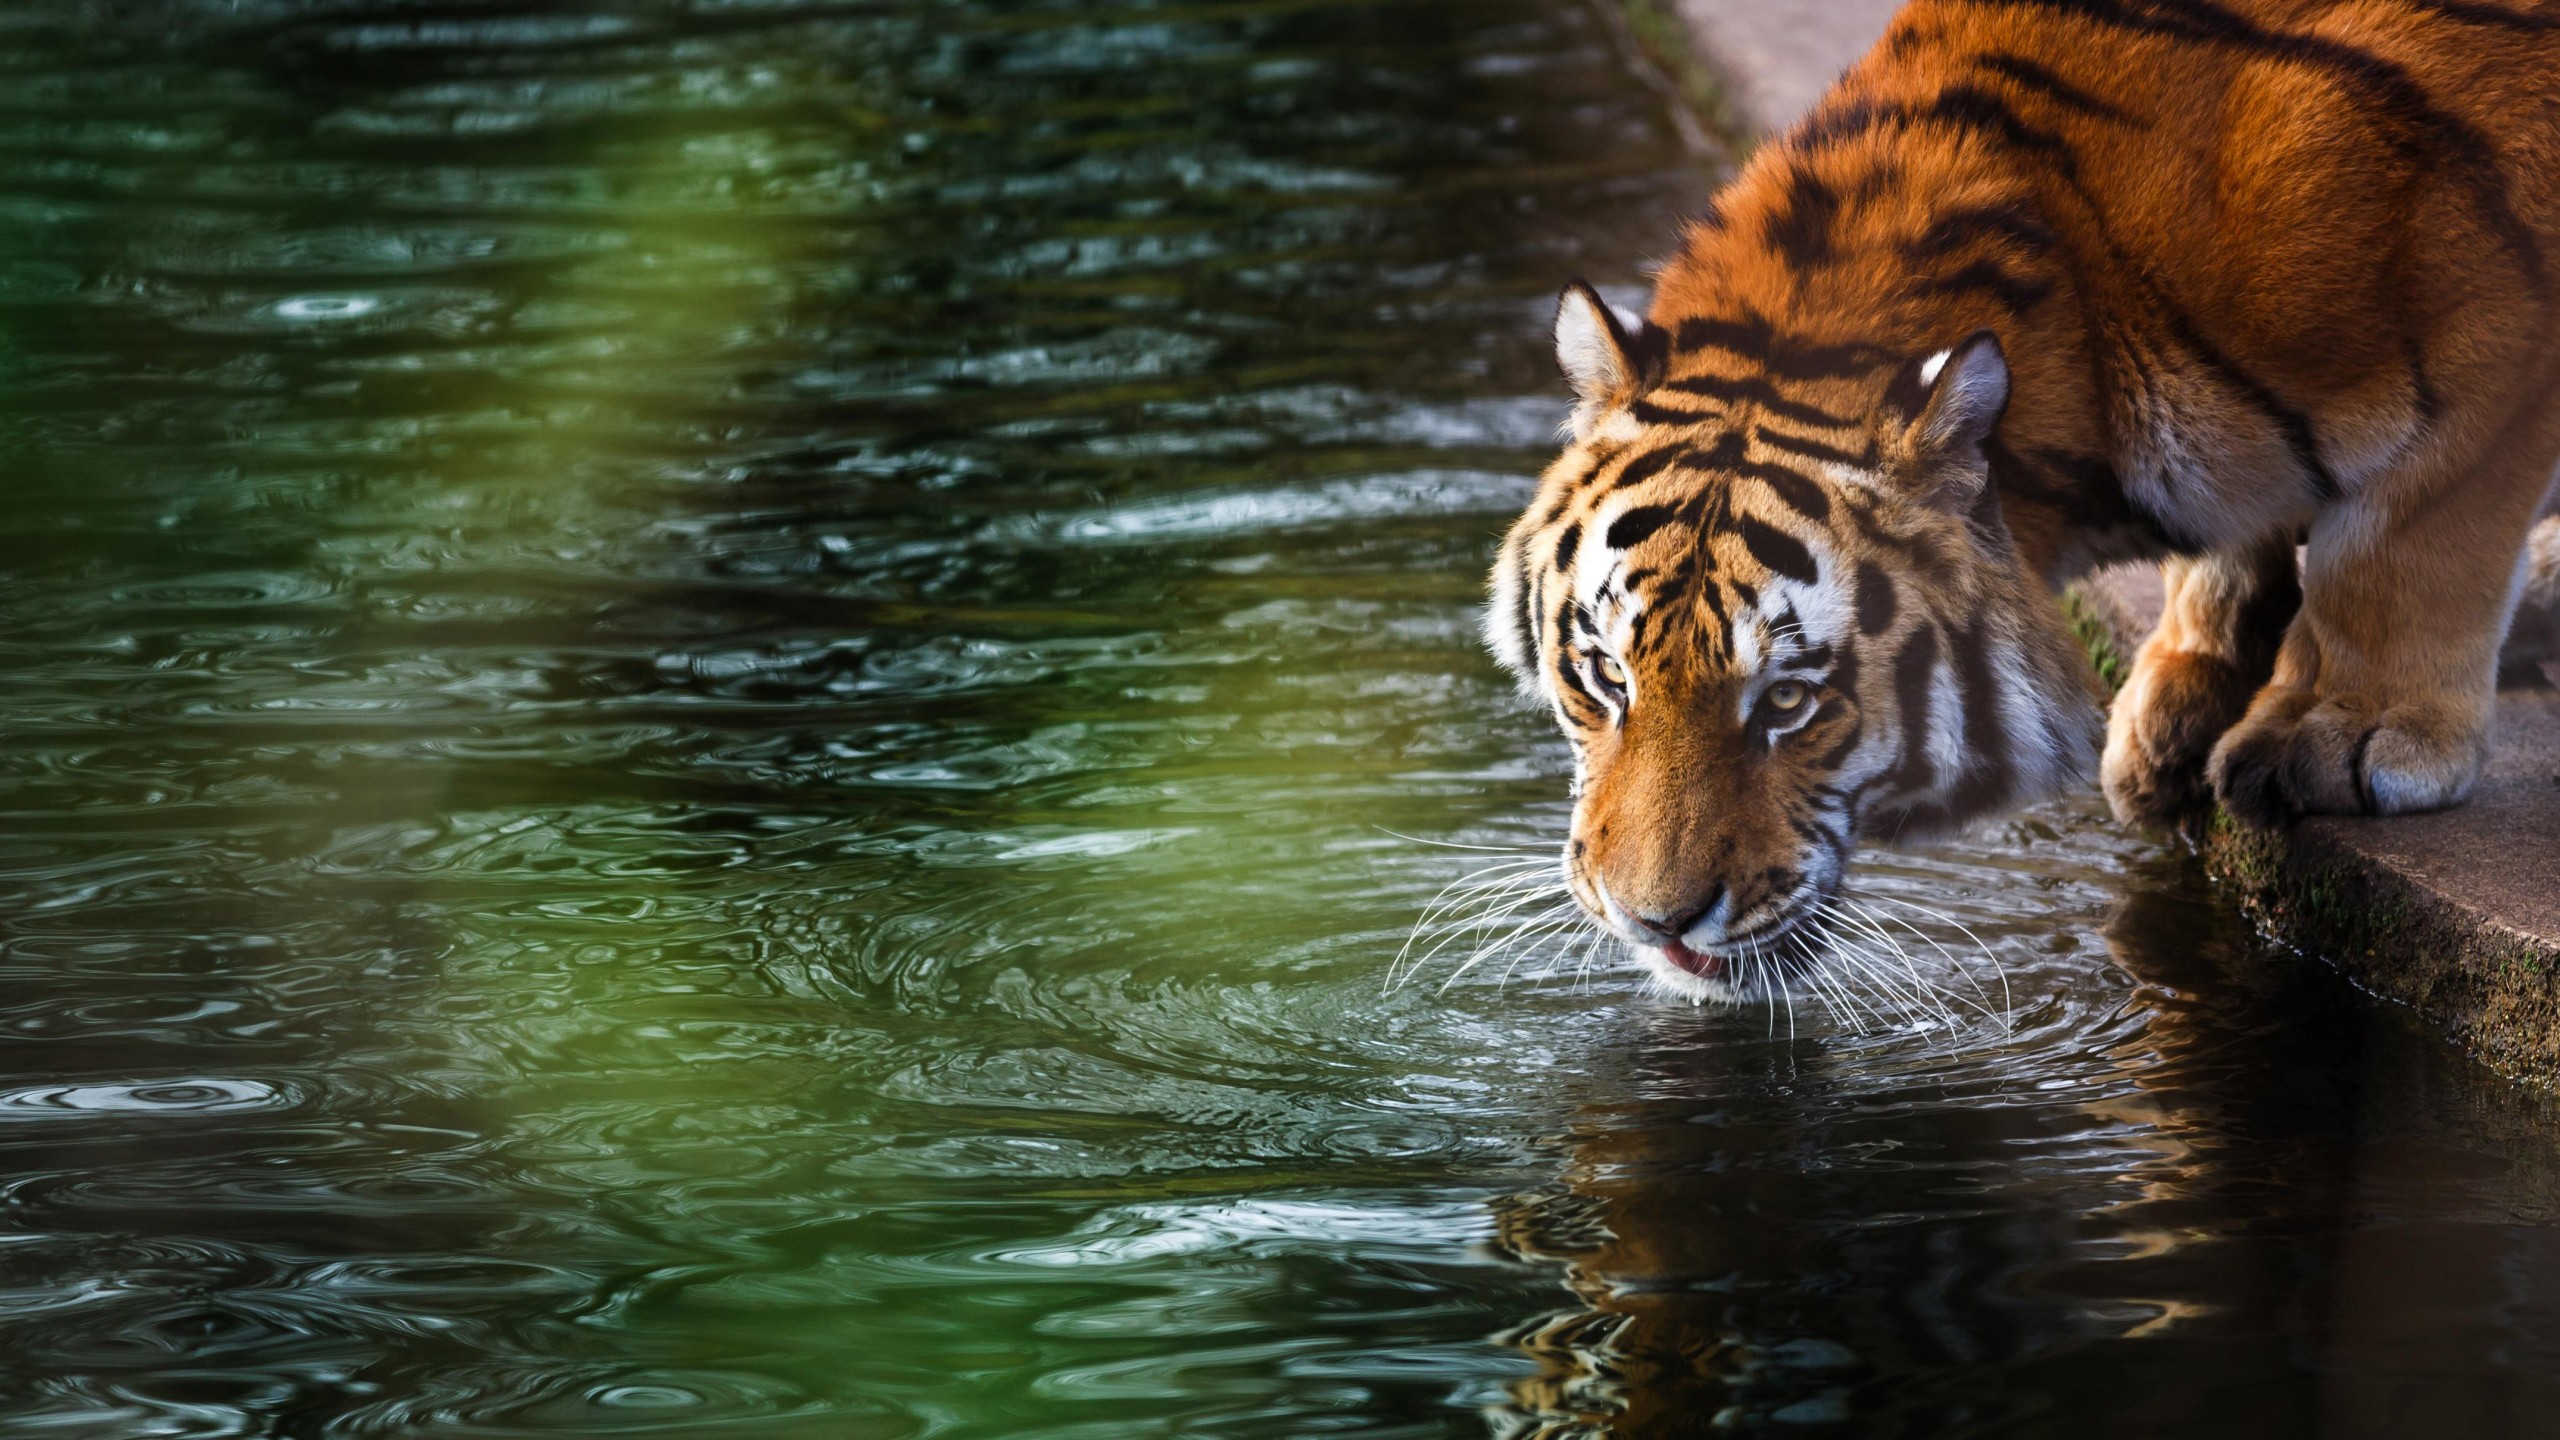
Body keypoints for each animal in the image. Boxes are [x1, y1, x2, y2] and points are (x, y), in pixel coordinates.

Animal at [1485, 0, 2560, 1001]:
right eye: (1605, 676)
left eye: (1790, 701)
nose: (1653, 921)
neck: (2084, 298)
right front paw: (2180, 697)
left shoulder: (2497, 332)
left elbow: (2404, 540)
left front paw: (2339, 730)